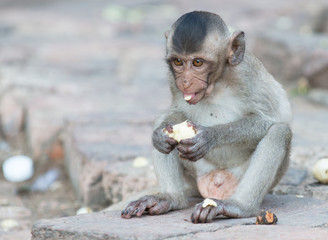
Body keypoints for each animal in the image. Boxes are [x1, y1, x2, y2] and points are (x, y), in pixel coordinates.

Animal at [120, 11, 292, 224]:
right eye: (178, 62)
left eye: (197, 62)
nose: (185, 81)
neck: (216, 83)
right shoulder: (172, 79)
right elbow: (175, 111)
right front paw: (159, 136)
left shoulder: (246, 74)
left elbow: (268, 120)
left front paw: (208, 137)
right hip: (196, 174)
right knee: (168, 117)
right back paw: (169, 198)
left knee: (280, 132)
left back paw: (238, 206)